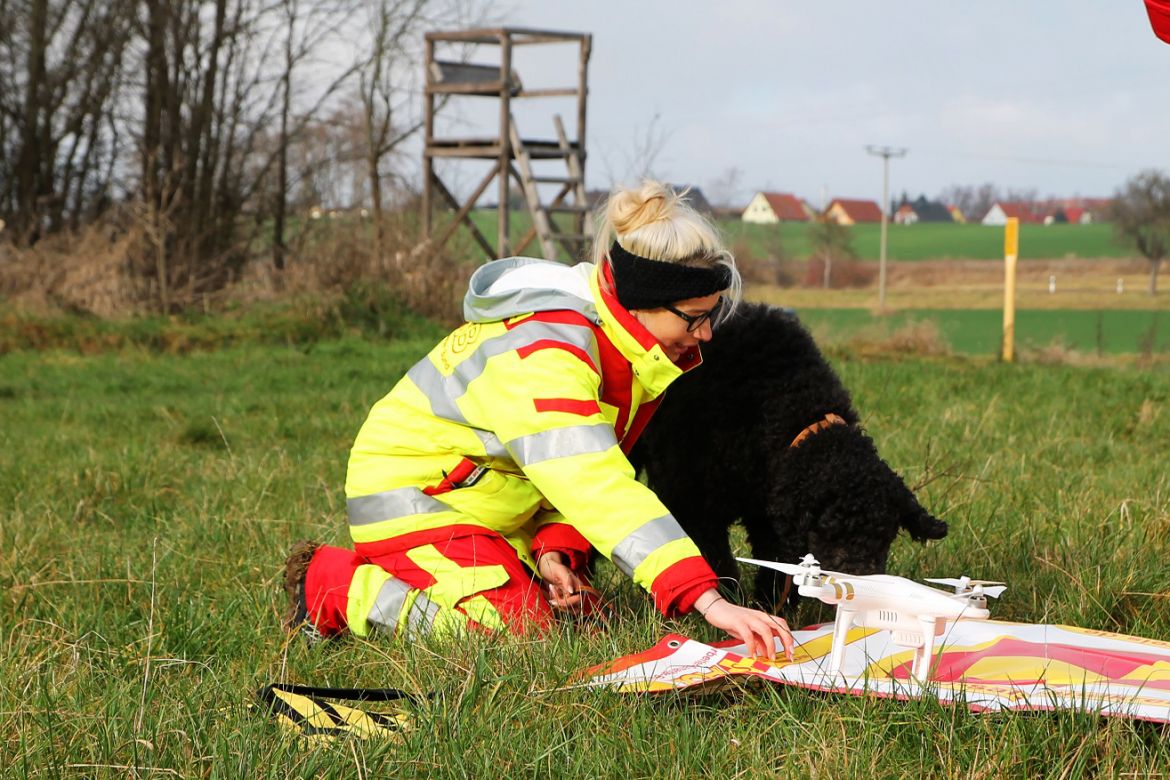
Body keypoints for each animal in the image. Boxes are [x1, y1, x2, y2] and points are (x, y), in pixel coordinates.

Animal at [631, 301, 950, 608]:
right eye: (831, 531)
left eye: (884, 537)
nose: (862, 591)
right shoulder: (693, 500)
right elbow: (713, 558)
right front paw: (729, 604)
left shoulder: (767, 512)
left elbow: (776, 567)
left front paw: (771, 606)